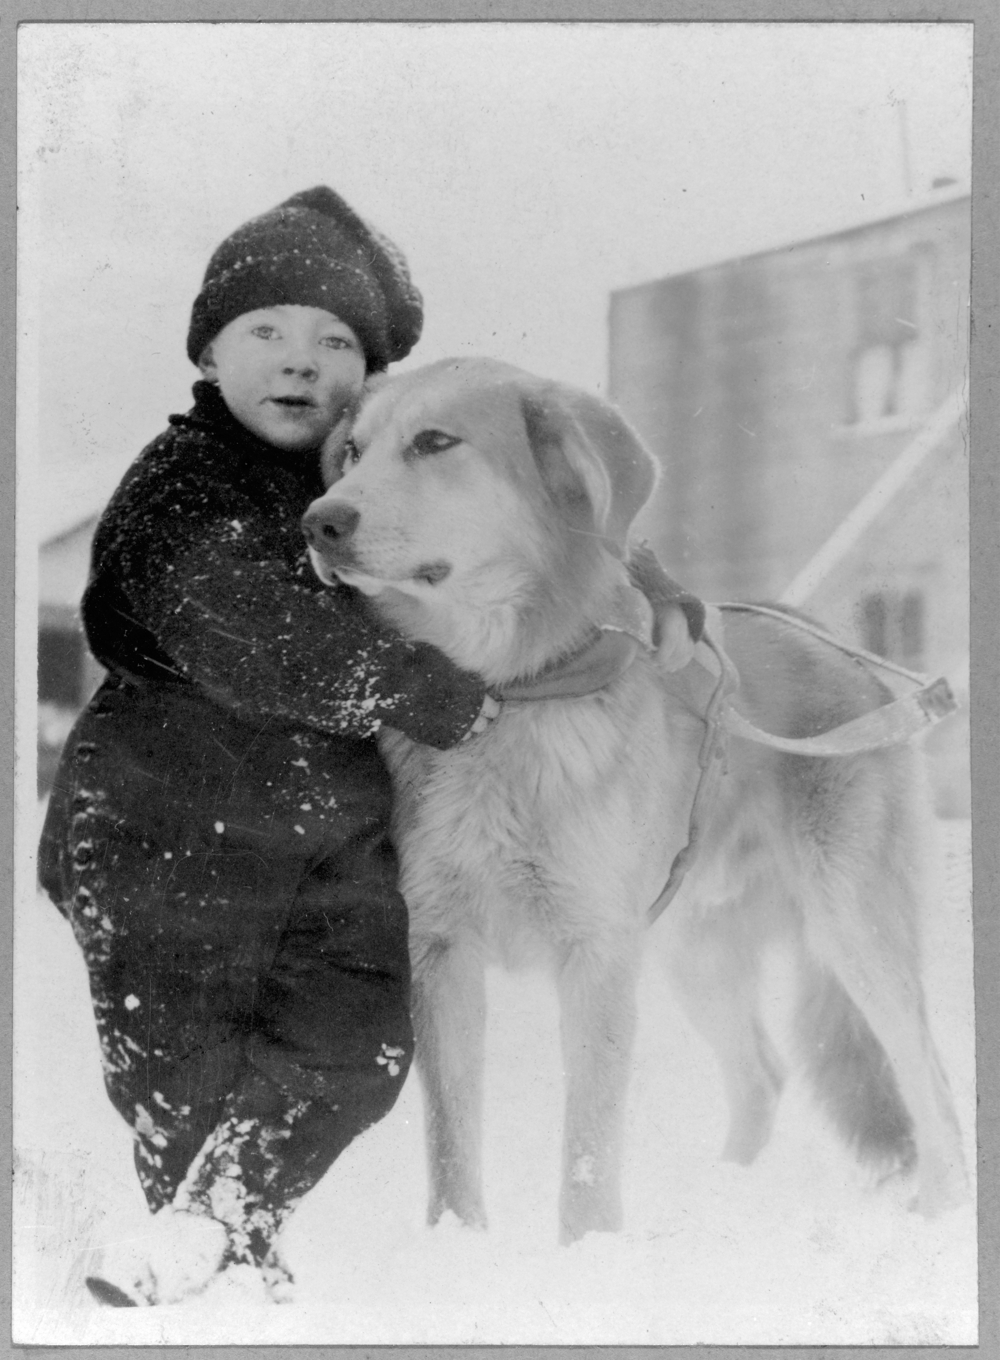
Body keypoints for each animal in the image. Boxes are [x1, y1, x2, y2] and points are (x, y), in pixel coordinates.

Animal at [299, 359, 968, 1245]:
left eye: (435, 442)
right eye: (353, 452)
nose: (318, 522)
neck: (507, 697)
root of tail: (835, 644)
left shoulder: (597, 955)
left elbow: (587, 1154)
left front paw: (587, 1256)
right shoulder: (440, 950)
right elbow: (450, 1148)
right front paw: (460, 1248)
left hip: (853, 928)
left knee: (929, 1080)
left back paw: (939, 1214)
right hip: (695, 952)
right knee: (763, 1074)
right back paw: (720, 1199)